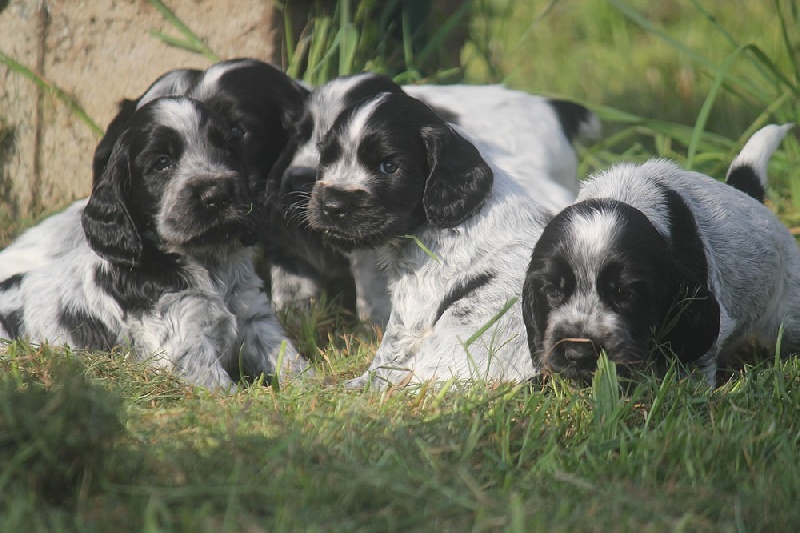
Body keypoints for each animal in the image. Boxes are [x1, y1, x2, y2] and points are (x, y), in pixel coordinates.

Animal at [0, 96, 308, 386]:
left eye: (228, 152)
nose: (217, 194)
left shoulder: (254, 317)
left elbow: (290, 361)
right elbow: (221, 389)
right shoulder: (183, 338)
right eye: (162, 164)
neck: (205, 262)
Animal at [302, 90, 564, 386]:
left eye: (389, 166)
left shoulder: (414, 302)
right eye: (328, 158)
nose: (332, 206)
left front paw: (354, 387)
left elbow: (387, 354)